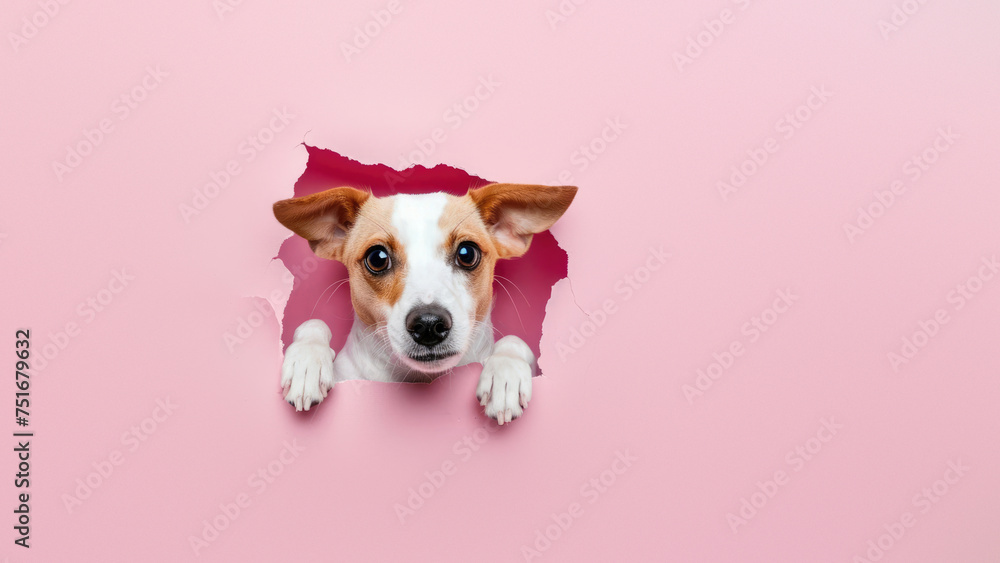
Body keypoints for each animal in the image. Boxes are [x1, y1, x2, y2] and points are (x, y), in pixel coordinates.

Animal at [274, 183, 576, 426]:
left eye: (467, 253)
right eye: (377, 258)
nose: (429, 324)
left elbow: (514, 341)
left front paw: (505, 373)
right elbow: (314, 323)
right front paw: (306, 362)